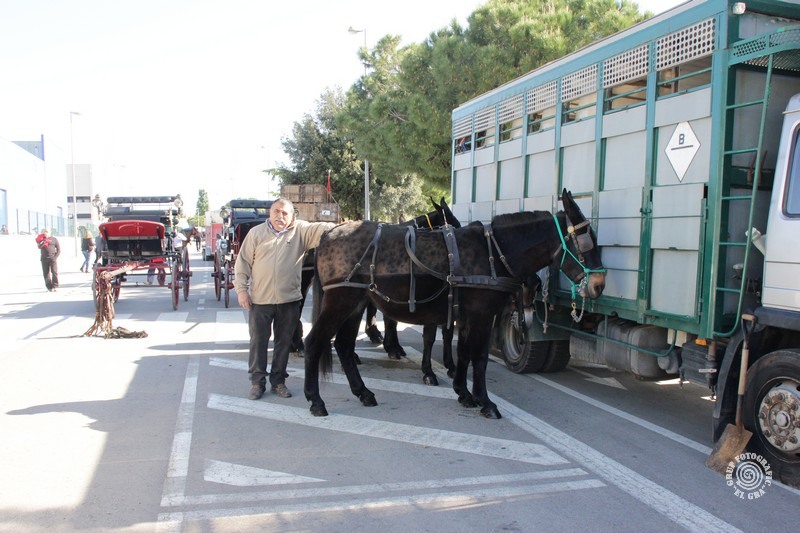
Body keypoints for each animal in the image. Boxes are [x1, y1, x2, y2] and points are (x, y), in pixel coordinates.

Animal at [303, 189, 605, 419]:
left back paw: (363, 392)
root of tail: (329, 234)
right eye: (586, 241)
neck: (494, 254)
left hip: (354, 304)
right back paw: (315, 400)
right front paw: (484, 401)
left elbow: (463, 352)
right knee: (315, 342)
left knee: (344, 346)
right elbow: (478, 357)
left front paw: (463, 392)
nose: (599, 284)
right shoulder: (482, 315)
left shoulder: (469, 315)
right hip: (340, 302)